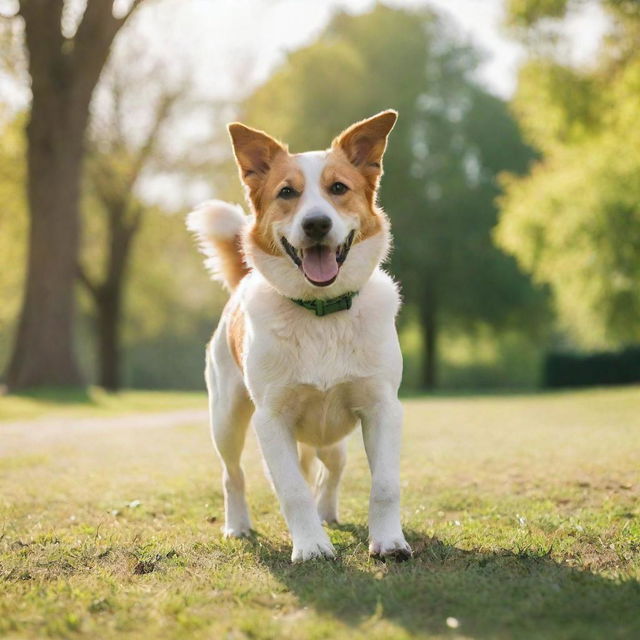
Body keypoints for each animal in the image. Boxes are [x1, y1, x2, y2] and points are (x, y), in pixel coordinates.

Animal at [188, 112, 412, 564]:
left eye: (338, 188)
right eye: (286, 192)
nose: (316, 224)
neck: (321, 312)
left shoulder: (382, 408)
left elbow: (384, 485)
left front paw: (389, 541)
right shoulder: (271, 420)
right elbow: (291, 490)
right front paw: (311, 546)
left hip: (331, 436)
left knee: (332, 468)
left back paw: (327, 512)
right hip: (226, 419)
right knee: (233, 475)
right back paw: (238, 525)